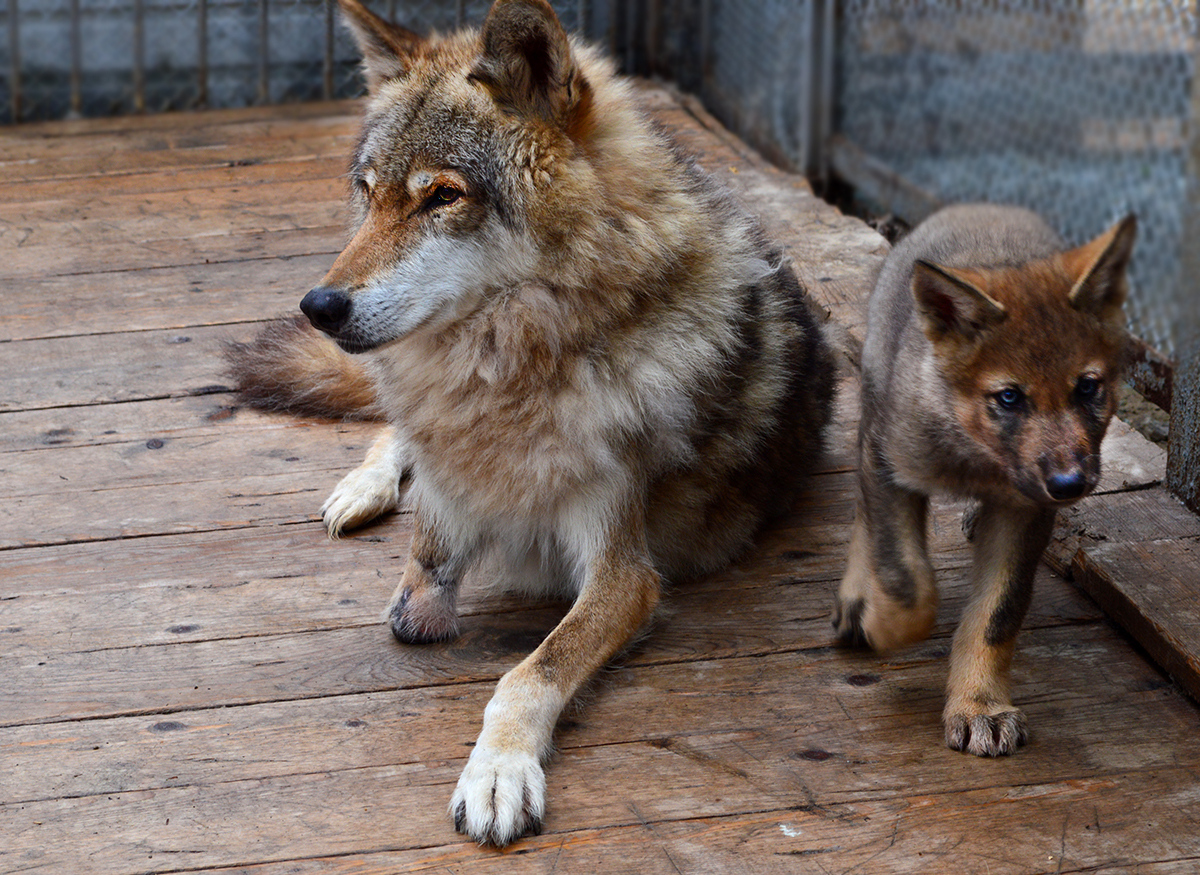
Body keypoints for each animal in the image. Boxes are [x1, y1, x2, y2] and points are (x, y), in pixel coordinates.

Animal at [229, 0, 840, 849]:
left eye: (442, 196)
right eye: (369, 192)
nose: (318, 306)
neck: (517, 368)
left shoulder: (625, 573)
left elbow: (529, 670)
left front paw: (497, 772)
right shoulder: (442, 515)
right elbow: (417, 590)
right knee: (392, 424)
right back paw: (364, 483)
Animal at [835, 205, 1132, 758]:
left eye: (1087, 388)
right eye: (1009, 397)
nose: (1069, 484)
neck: (975, 456)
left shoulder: (1024, 510)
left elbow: (997, 615)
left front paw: (979, 706)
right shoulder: (890, 465)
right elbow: (904, 580)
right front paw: (880, 624)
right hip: (873, 413)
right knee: (864, 513)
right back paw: (854, 598)